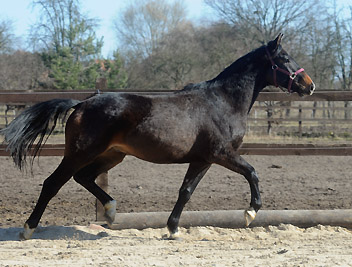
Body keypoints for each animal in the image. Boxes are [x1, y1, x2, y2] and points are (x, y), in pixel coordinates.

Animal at [0, 34, 316, 241]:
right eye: (285, 59)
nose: (309, 85)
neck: (222, 102)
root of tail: (81, 104)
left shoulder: (202, 160)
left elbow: (185, 191)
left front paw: (173, 229)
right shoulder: (221, 154)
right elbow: (252, 172)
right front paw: (251, 212)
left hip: (112, 154)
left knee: (84, 178)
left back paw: (111, 210)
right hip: (80, 152)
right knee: (53, 183)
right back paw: (28, 229)